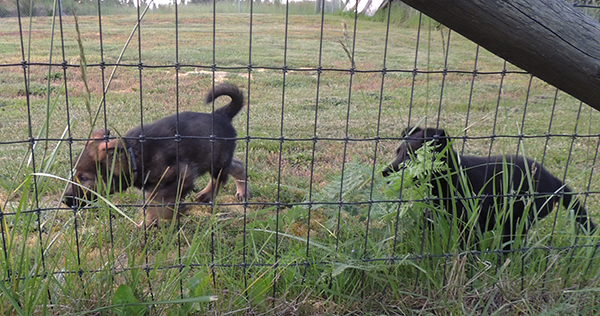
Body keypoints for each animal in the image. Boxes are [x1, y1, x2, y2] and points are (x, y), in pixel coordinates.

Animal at [61, 84, 248, 227]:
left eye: (83, 178)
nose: (65, 201)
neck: (135, 156)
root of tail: (220, 114)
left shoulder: (182, 174)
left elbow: (158, 204)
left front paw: (173, 213)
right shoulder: (152, 188)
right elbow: (151, 204)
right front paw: (146, 225)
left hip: (216, 159)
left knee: (220, 178)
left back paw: (207, 194)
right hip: (215, 158)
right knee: (237, 165)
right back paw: (241, 192)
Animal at [384, 125, 596, 247]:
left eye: (413, 156)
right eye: (397, 151)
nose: (385, 172)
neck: (449, 180)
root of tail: (554, 180)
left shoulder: (470, 224)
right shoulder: (436, 214)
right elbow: (422, 226)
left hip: (517, 219)